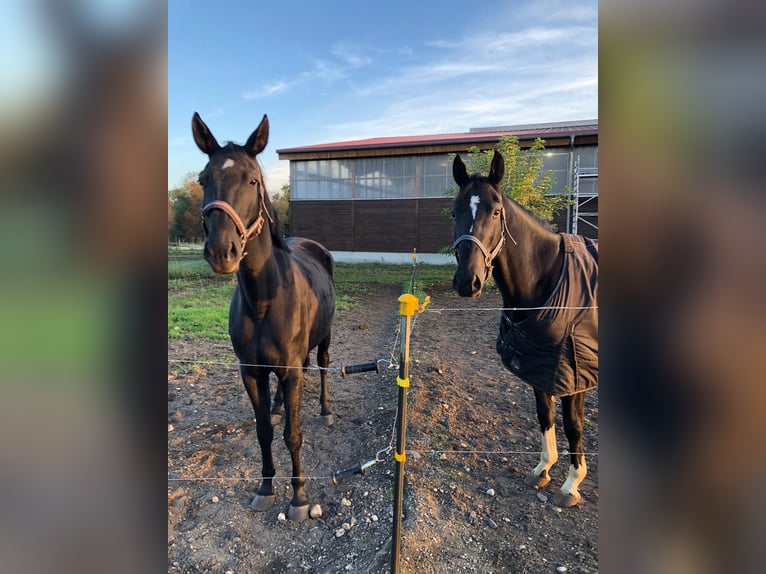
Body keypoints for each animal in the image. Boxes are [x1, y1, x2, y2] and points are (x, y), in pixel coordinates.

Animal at [191, 112, 336, 521]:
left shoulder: (289, 370)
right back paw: (277, 407)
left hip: (324, 340)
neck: (264, 302)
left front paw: (299, 497)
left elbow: (293, 434)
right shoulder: (252, 372)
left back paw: (325, 410)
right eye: (203, 179)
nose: (221, 251)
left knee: (321, 366)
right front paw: (266, 486)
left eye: (252, 180)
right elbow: (264, 432)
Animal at [451, 152, 598, 507]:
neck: (549, 277)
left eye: (496, 211)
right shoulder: (539, 364)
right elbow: (544, 414)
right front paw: (543, 468)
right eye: (454, 212)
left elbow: (573, 425)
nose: (467, 282)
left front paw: (572, 484)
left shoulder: (575, 372)